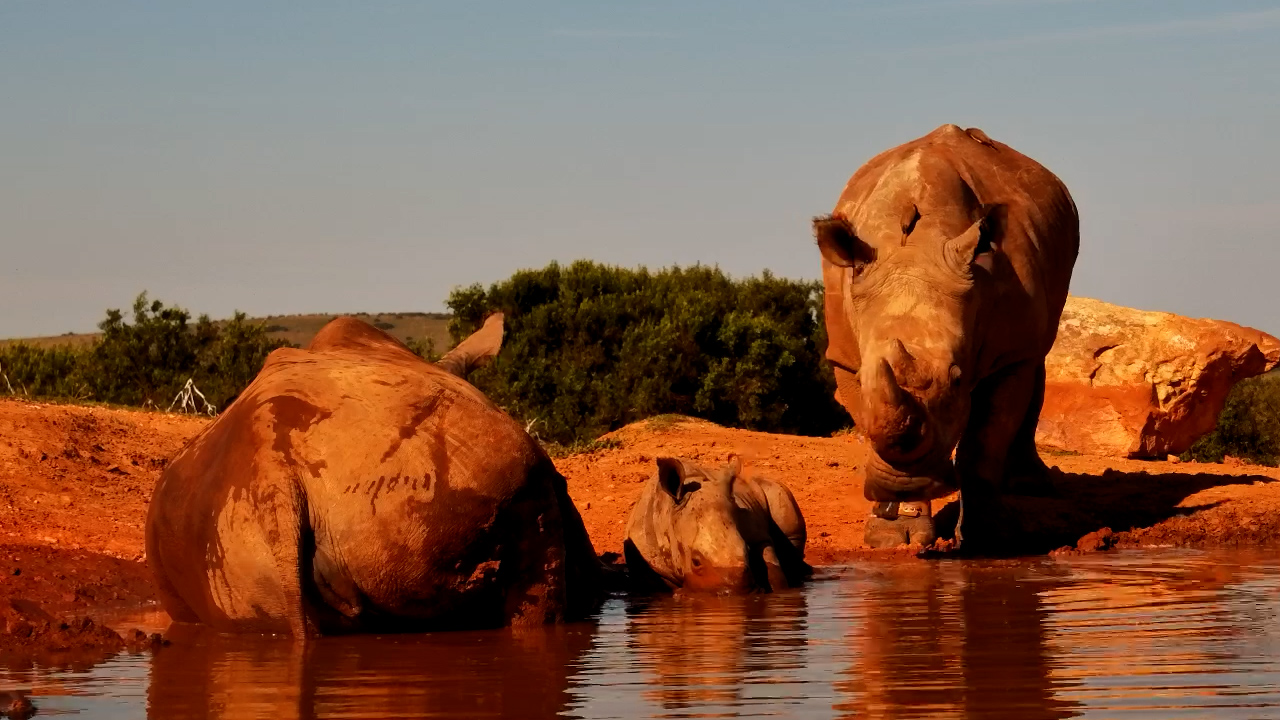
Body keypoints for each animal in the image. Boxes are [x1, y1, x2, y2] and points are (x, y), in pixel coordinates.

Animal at [623, 456, 810, 593]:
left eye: (748, 550)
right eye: (696, 562)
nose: (736, 593)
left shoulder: (757, 534)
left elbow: (774, 571)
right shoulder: (649, 565)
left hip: (770, 487)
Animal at [813, 124, 1079, 549]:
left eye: (956, 380)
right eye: (865, 378)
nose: (903, 485)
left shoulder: (1007, 353)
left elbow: (985, 441)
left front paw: (989, 538)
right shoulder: (845, 356)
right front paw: (893, 534)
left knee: (1037, 355)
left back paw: (1031, 487)